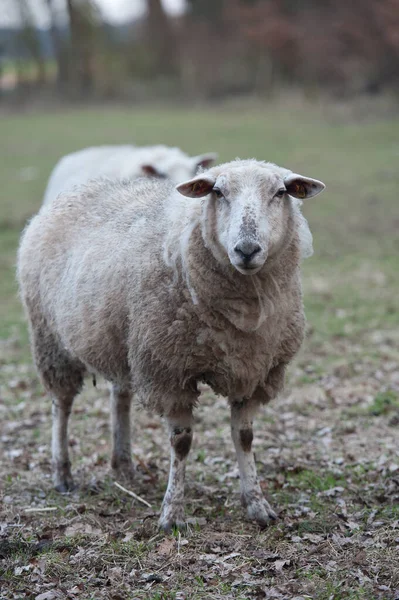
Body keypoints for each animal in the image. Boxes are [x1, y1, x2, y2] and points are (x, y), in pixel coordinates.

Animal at [17, 158, 326, 528]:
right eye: (218, 192)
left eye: (280, 193)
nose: (247, 250)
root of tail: (75, 192)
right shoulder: (169, 370)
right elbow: (182, 443)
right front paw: (172, 512)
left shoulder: (253, 370)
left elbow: (244, 437)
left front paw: (257, 504)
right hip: (51, 340)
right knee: (61, 406)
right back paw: (62, 474)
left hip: (124, 341)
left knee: (120, 397)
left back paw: (124, 465)